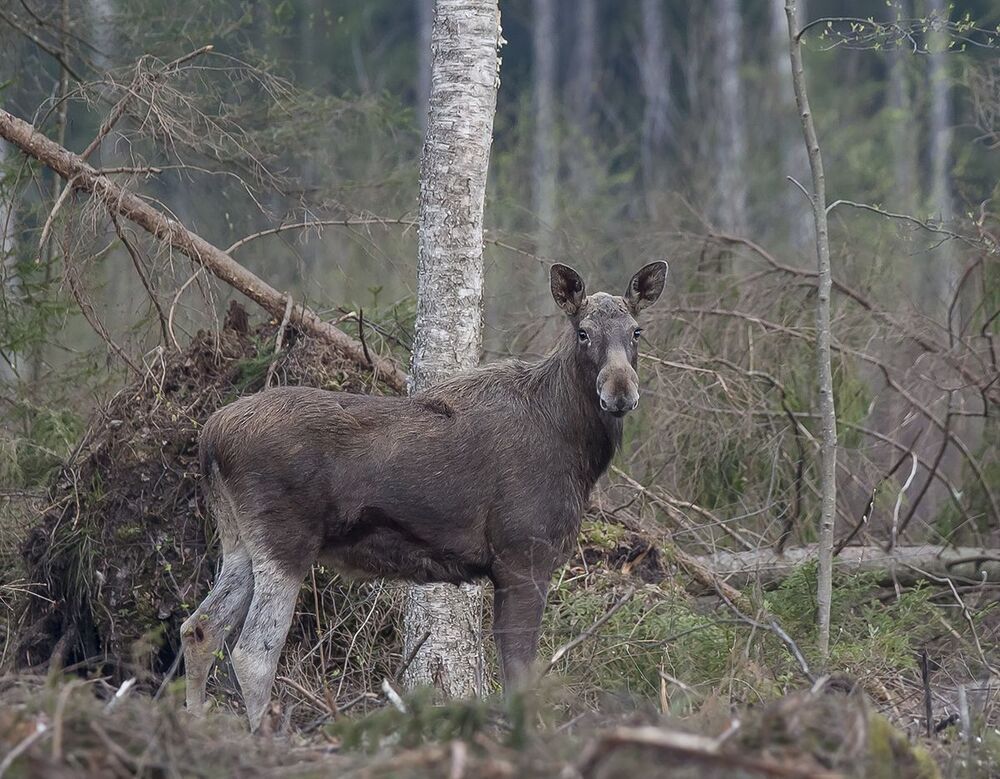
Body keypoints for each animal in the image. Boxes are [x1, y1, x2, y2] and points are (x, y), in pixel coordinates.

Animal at [180, 261, 667, 730]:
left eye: (636, 331)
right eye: (583, 331)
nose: (620, 392)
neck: (578, 450)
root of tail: (210, 437)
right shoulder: (523, 556)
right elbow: (518, 673)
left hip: (240, 543)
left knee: (199, 628)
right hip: (285, 543)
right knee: (253, 654)